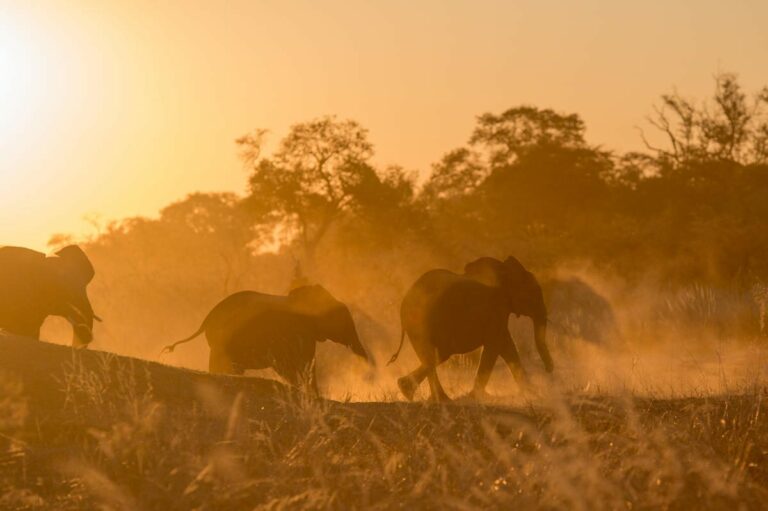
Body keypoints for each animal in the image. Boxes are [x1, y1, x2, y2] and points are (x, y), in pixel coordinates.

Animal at [162, 284, 372, 396]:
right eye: (342, 317)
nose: (365, 364)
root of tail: (206, 319)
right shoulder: (294, 333)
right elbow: (295, 364)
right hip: (222, 342)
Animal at [390, 258, 552, 402]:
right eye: (534, 294)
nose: (548, 371)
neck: (506, 271)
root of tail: (405, 301)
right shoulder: (496, 309)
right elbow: (495, 346)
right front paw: (475, 397)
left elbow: (506, 346)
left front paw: (532, 393)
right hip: (425, 321)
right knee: (440, 354)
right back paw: (435, 398)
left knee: (433, 356)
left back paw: (412, 392)